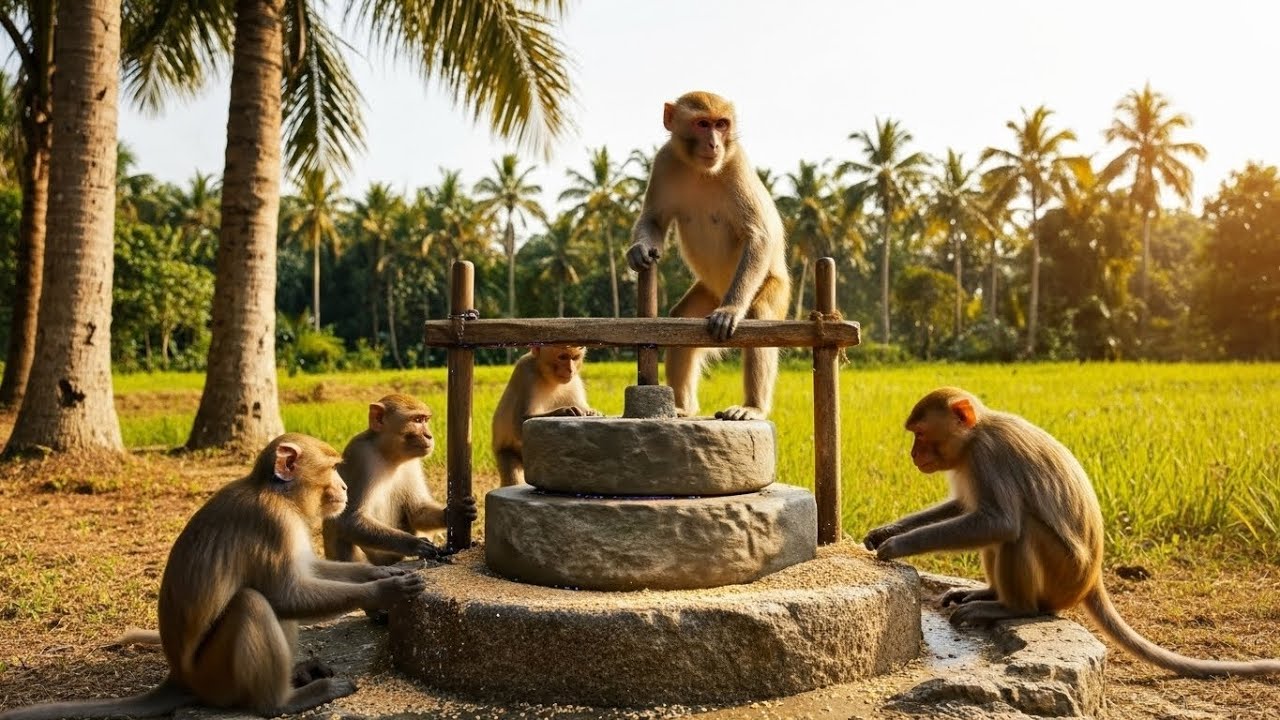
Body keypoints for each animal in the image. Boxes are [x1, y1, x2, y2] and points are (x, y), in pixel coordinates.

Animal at [0, 434, 426, 720]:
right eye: (334, 468)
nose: (344, 486)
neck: (277, 494)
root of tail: (180, 677)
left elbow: (305, 575)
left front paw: (383, 570)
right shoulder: (271, 522)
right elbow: (286, 593)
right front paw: (384, 589)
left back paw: (296, 676)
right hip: (215, 675)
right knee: (254, 602)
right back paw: (282, 701)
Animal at [323, 393, 477, 567]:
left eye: (425, 420)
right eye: (417, 420)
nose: (429, 436)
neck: (389, 456)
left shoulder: (412, 464)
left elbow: (416, 510)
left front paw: (455, 512)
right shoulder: (359, 455)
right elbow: (348, 519)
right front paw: (413, 544)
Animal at [491, 345, 600, 486]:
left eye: (575, 357)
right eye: (562, 357)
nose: (570, 370)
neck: (546, 376)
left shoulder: (574, 381)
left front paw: (592, 412)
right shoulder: (525, 372)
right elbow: (518, 424)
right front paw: (564, 411)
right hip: (505, 452)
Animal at [626, 90, 791, 422]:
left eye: (721, 124)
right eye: (702, 124)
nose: (714, 144)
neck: (700, 170)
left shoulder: (736, 162)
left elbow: (758, 236)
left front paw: (731, 309)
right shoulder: (664, 159)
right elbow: (654, 219)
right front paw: (639, 251)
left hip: (775, 288)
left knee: (760, 317)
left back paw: (752, 406)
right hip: (709, 292)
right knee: (681, 322)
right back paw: (683, 407)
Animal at [863, 387, 1280, 678]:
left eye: (920, 433)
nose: (913, 454)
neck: (976, 434)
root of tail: (1093, 577)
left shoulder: (987, 456)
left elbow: (999, 521)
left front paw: (898, 545)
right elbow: (968, 511)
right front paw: (885, 532)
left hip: (1063, 576)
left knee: (1020, 531)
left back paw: (1013, 607)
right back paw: (988, 593)